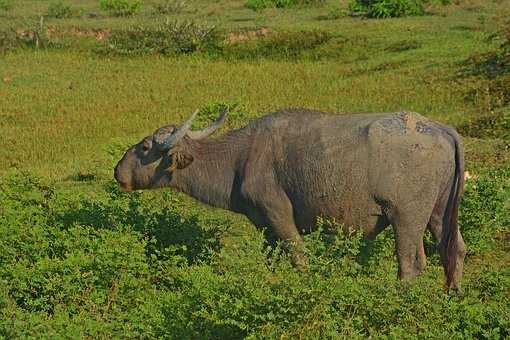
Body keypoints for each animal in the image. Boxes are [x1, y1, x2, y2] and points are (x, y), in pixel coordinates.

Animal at [115, 108, 466, 292]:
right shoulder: (264, 226)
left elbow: (299, 258)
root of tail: (442, 129)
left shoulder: (279, 216)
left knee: (411, 262)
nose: (118, 170)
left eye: (144, 147)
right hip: (440, 215)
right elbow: (271, 260)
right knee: (455, 251)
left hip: (406, 219)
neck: (240, 159)